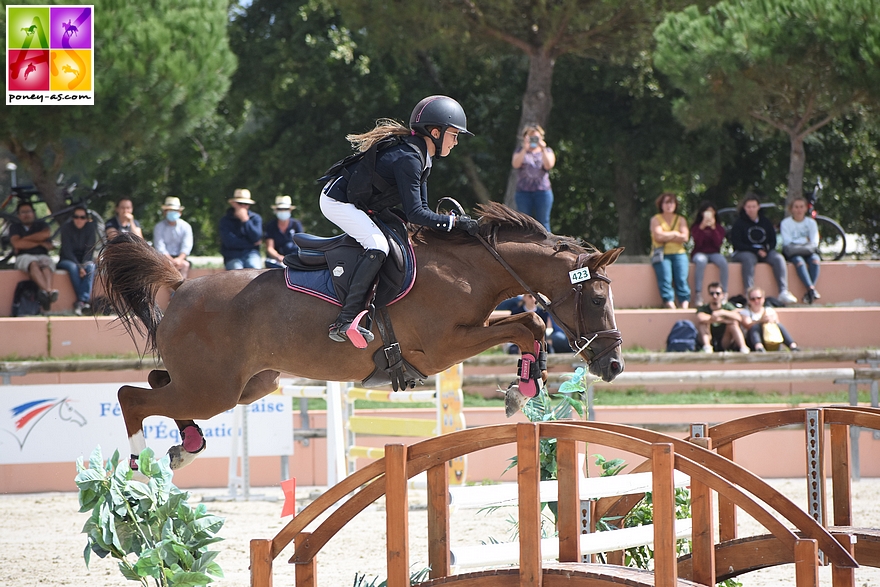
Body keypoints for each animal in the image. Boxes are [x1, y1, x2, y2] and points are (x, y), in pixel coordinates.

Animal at [99, 204, 624, 470]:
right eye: (598, 298)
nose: (614, 365)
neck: (468, 268)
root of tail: (182, 285)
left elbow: (528, 326)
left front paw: (526, 384)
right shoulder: (442, 348)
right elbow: (526, 324)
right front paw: (524, 389)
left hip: (249, 385)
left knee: (159, 384)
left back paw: (186, 444)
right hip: (216, 389)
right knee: (131, 396)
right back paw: (139, 462)